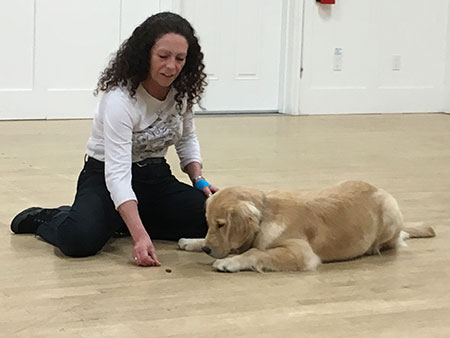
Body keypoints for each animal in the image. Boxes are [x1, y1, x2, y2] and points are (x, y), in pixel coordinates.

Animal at [179, 180, 436, 272]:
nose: (207, 250)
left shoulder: (301, 252)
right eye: (209, 224)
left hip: (390, 213)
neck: (265, 215)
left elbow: (256, 252)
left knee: (394, 241)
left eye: (222, 224)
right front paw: (193, 241)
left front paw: (230, 261)